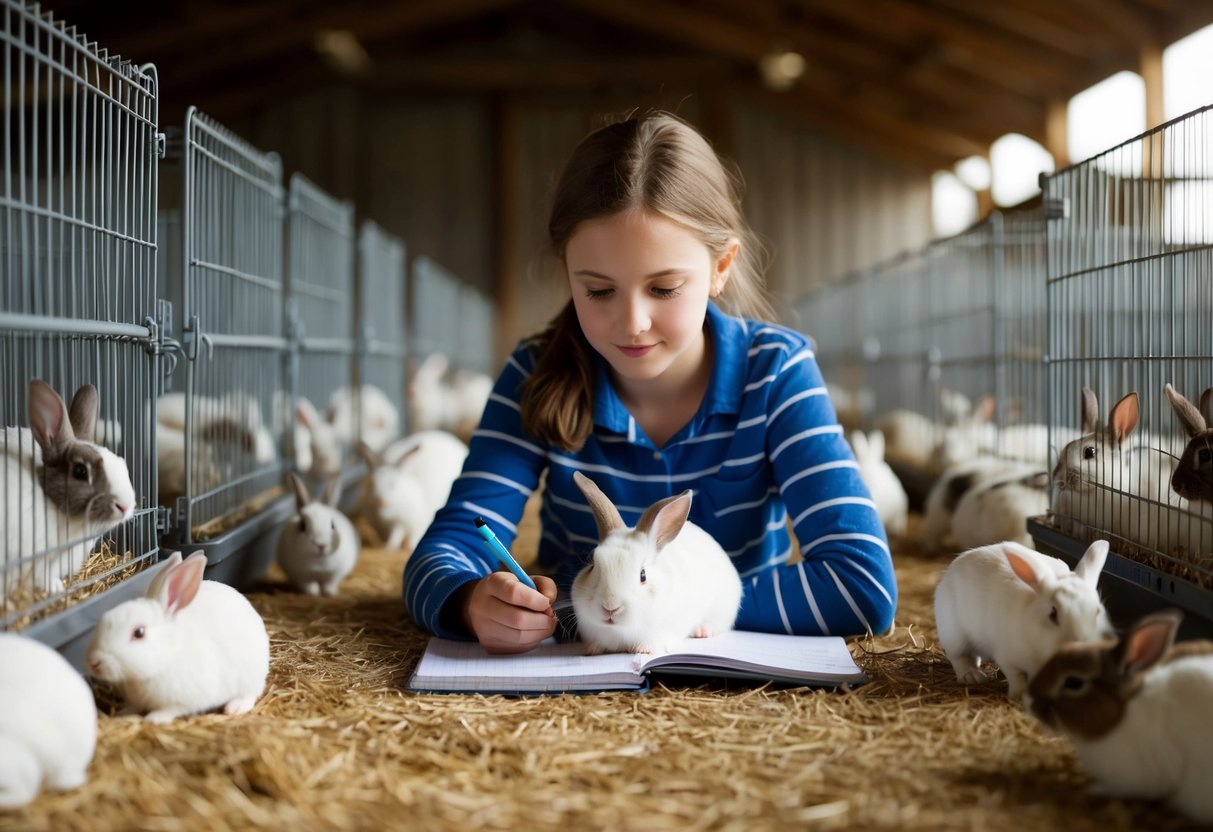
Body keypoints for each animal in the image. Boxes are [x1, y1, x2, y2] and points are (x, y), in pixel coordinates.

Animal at [86, 553, 271, 722]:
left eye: (139, 633)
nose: (94, 663)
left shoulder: (189, 698)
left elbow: (173, 709)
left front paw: (154, 718)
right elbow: (134, 707)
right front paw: (123, 713)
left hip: (251, 676)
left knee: (251, 693)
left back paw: (235, 708)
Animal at [567, 473, 737, 654]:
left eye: (643, 575)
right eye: (593, 564)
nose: (610, 607)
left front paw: (643, 651)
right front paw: (593, 650)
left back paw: (702, 631)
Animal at [931, 540, 1111, 703]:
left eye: (1098, 611)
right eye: (1053, 614)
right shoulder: (1007, 657)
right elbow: (1016, 676)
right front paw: (1020, 695)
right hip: (954, 634)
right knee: (959, 657)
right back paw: (973, 676)